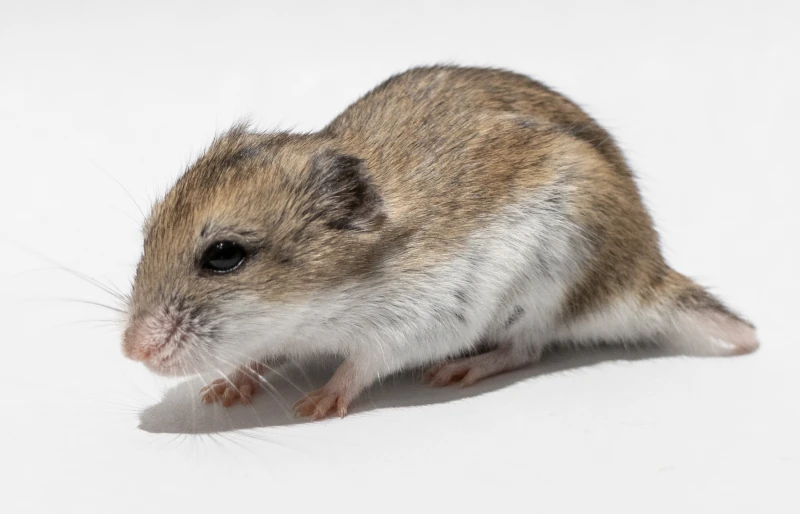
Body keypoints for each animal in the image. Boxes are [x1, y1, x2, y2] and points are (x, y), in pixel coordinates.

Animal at [122, 65, 759, 419]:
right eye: (147, 235)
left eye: (223, 255)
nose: (131, 352)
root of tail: (650, 272)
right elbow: (262, 353)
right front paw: (224, 391)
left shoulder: (418, 322)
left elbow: (361, 364)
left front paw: (315, 405)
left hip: (551, 285)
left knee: (525, 349)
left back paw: (459, 372)